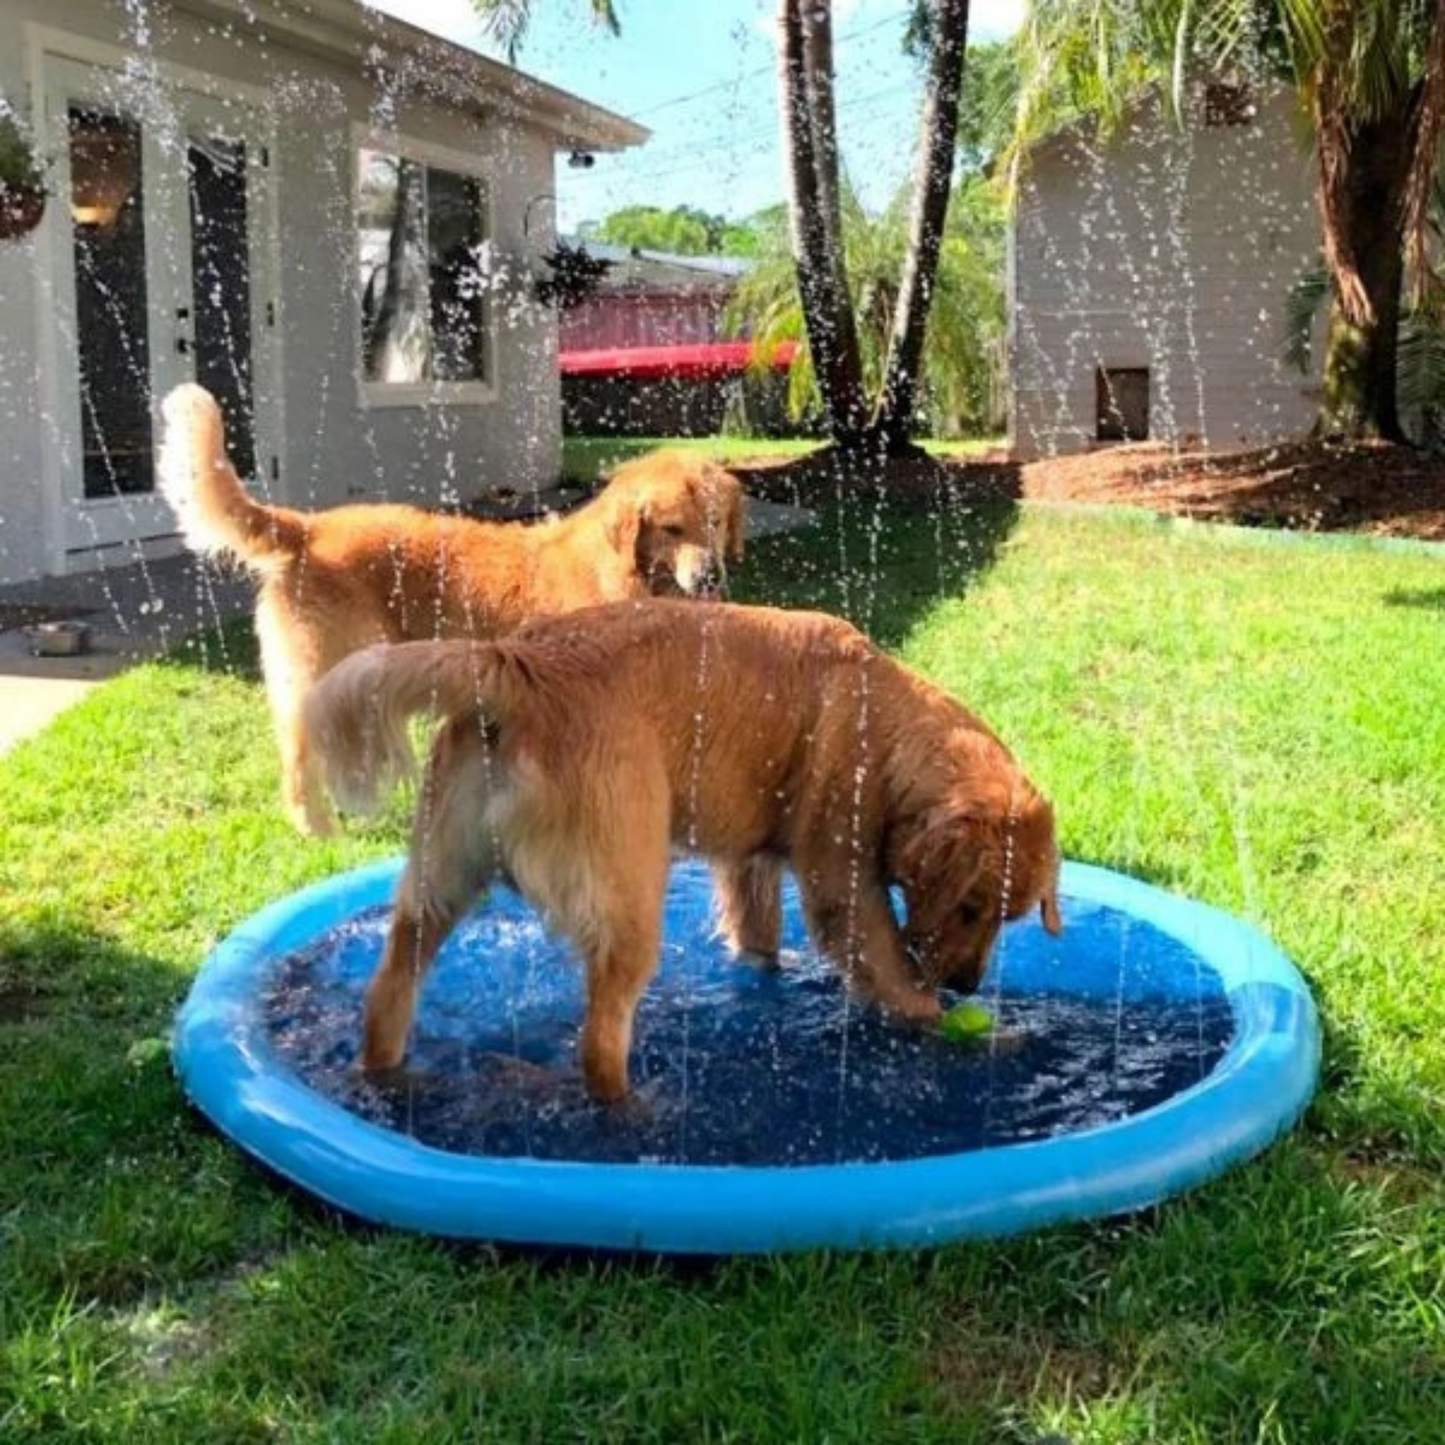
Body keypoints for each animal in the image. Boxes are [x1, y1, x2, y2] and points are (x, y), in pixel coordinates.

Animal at [158, 384, 745, 838]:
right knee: (300, 760)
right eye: (671, 528)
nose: (710, 576)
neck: (625, 570)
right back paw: (320, 831)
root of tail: (308, 528)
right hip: (326, 672)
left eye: (715, 521)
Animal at [302, 604, 1063, 1098]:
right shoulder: (841, 881)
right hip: (630, 893)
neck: (886, 724)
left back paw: (389, 1075)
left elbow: (758, 937)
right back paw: (635, 1111)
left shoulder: (750, 864)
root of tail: (515, 665)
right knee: (598, 1042)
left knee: (387, 991)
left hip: (440, 877)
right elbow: (890, 971)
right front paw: (971, 1030)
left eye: (1007, 916)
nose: (967, 986)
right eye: (971, 906)